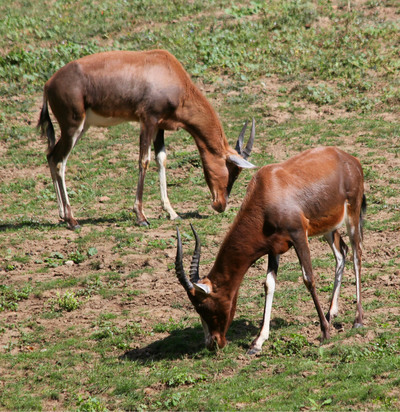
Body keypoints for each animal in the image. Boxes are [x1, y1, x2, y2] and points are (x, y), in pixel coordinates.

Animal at [38, 49, 256, 229]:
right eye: (233, 169)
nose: (220, 205)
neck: (166, 69)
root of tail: (48, 85)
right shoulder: (148, 120)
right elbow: (144, 160)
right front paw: (141, 217)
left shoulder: (160, 126)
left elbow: (162, 159)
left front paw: (172, 212)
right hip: (73, 126)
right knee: (60, 161)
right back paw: (72, 220)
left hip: (81, 127)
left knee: (51, 156)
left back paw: (62, 215)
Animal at [175, 147, 366, 354]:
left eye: (203, 306)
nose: (212, 343)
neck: (268, 189)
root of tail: (349, 159)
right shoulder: (274, 249)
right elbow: (269, 285)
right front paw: (257, 343)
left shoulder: (299, 236)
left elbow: (308, 279)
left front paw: (324, 332)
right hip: (328, 226)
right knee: (342, 252)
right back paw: (331, 312)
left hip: (352, 214)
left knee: (356, 254)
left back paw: (357, 320)